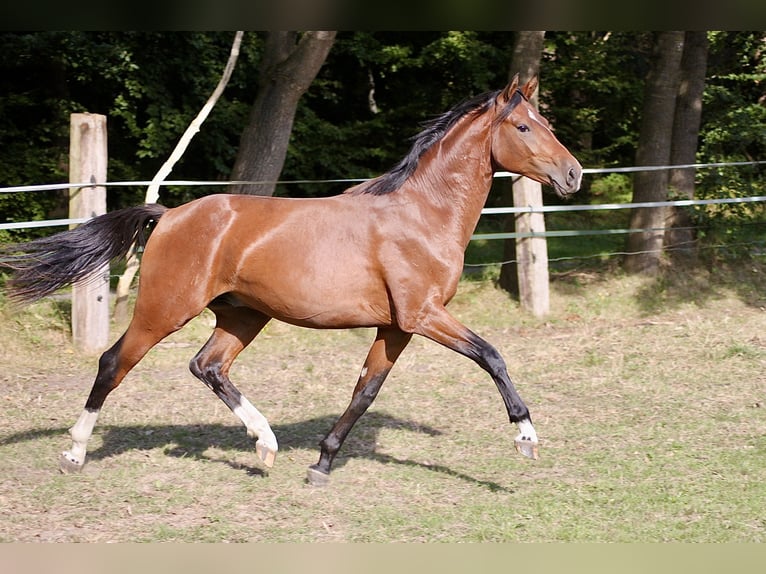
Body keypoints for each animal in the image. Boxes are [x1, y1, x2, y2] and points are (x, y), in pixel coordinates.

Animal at [1, 75, 584, 486]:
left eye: (545, 121)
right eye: (525, 126)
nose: (573, 174)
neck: (422, 215)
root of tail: (168, 216)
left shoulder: (397, 326)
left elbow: (364, 392)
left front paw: (321, 465)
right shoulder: (424, 314)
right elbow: (492, 355)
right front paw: (526, 437)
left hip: (242, 315)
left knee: (207, 366)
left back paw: (266, 445)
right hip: (164, 310)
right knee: (112, 363)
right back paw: (74, 453)